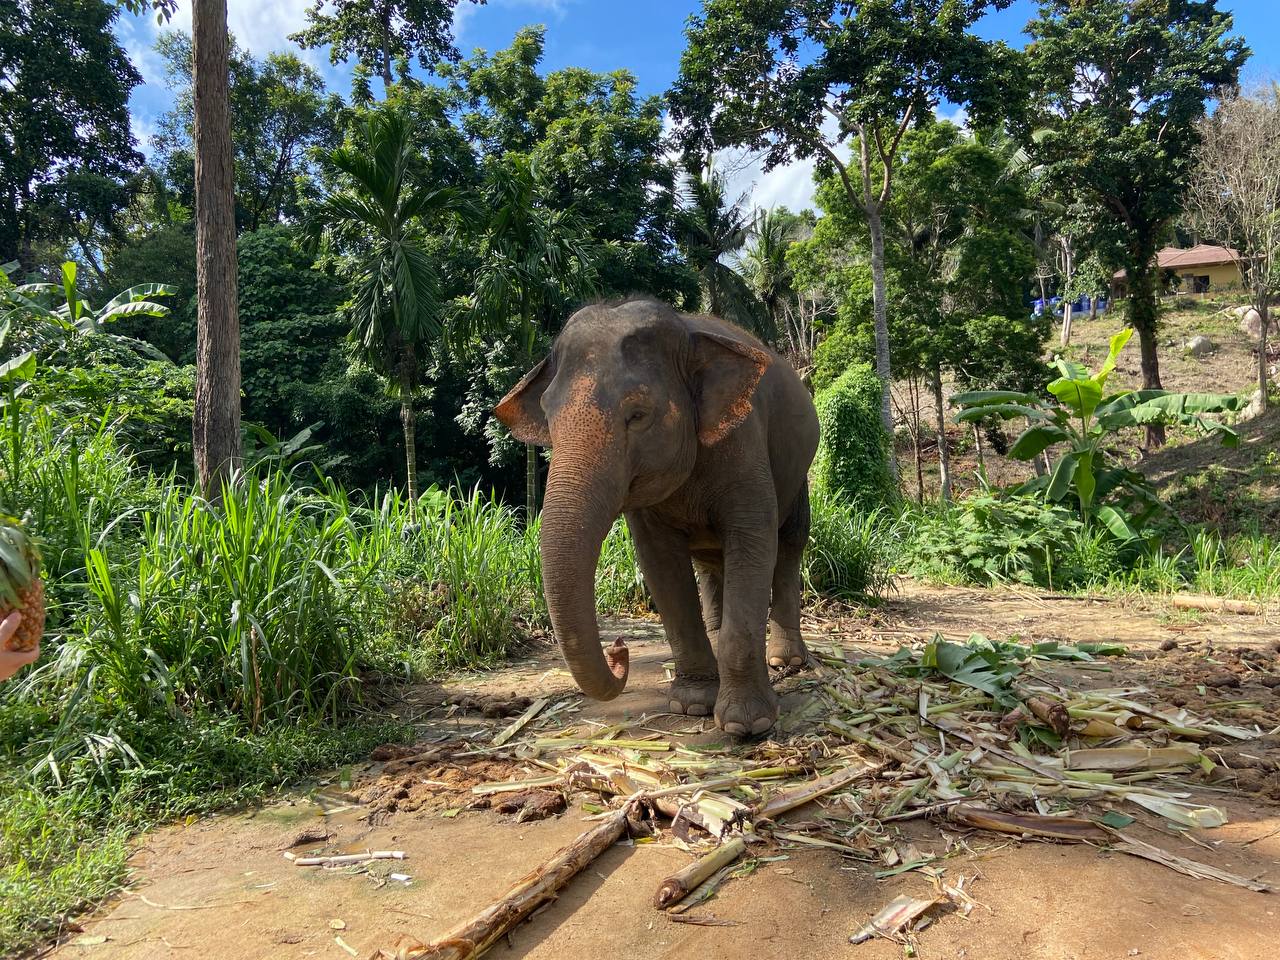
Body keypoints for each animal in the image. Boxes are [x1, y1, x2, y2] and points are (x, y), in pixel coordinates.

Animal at [494, 296, 820, 735]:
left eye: (638, 414)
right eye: (548, 415)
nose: (619, 648)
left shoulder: (744, 442)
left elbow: (754, 542)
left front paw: (747, 724)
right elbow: (660, 562)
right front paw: (693, 704)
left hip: (798, 472)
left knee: (789, 543)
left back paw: (788, 661)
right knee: (711, 562)